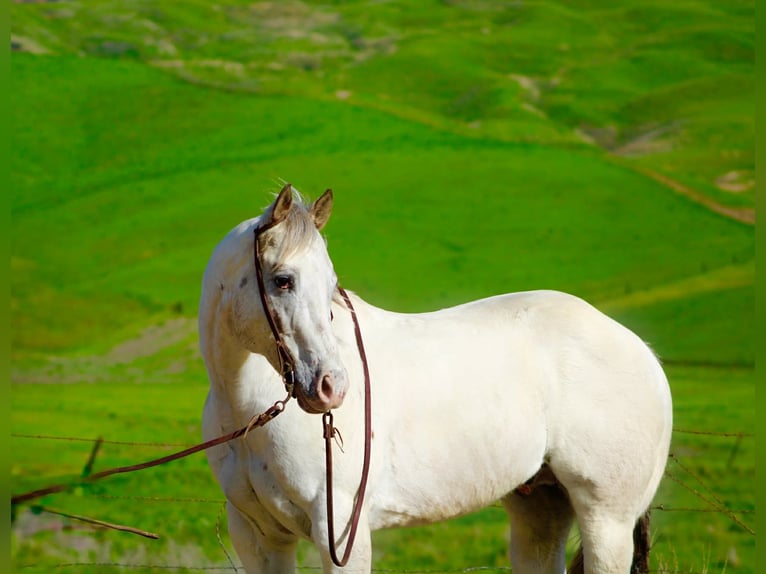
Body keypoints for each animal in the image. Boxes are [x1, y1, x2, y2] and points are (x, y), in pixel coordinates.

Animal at [199, 184, 673, 574]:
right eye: (283, 281)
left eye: (332, 285)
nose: (332, 385)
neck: (246, 407)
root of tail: (642, 353)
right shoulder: (259, 537)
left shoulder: (342, 534)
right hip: (540, 510)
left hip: (607, 521)